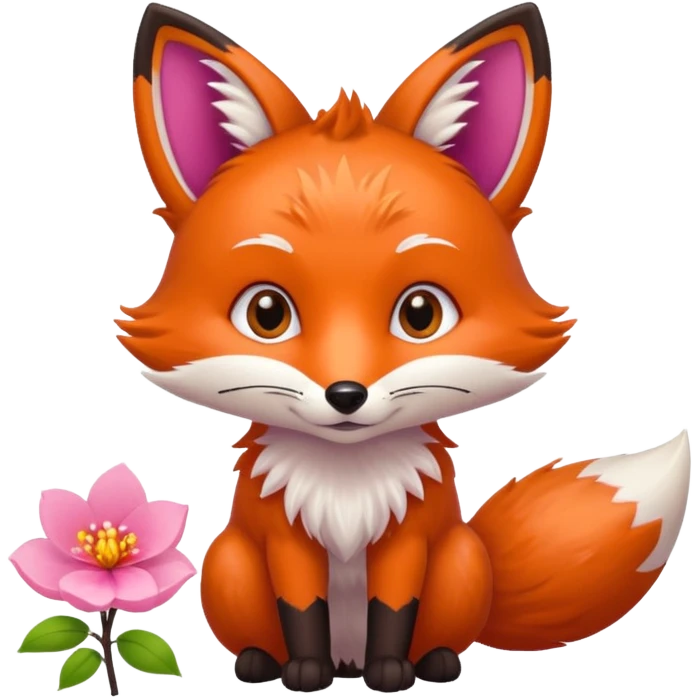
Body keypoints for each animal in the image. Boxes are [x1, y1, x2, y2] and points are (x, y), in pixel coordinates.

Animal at [120, 2, 693, 693]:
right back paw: (262, 662)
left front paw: (391, 671)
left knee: (441, 627)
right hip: (228, 561)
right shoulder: (286, 540)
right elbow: (301, 609)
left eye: (421, 314)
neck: (346, 483)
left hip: (463, 558)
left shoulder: (410, 540)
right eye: (267, 314)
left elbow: (394, 608)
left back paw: (434, 661)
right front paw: (305, 671)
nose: (346, 394)